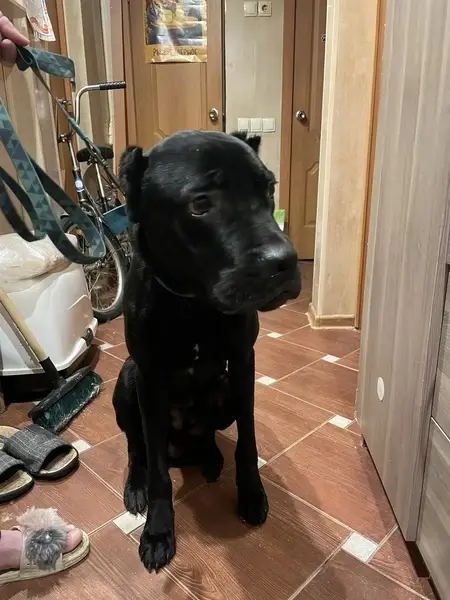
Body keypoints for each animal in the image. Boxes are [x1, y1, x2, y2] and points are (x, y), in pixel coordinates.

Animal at [112, 130, 301, 573]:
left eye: (269, 189)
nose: (285, 262)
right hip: (126, 383)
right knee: (137, 446)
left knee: (207, 435)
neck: (193, 304)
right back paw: (135, 485)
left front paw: (251, 494)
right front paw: (158, 531)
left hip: (223, 390)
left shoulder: (243, 363)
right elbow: (157, 470)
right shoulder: (147, 376)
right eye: (200, 204)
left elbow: (248, 443)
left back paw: (211, 459)